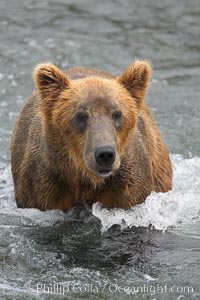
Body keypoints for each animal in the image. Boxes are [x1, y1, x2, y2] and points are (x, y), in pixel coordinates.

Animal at [10, 61, 172, 211]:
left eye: (117, 113)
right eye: (80, 115)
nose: (105, 154)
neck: (87, 179)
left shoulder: (128, 185)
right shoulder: (44, 186)